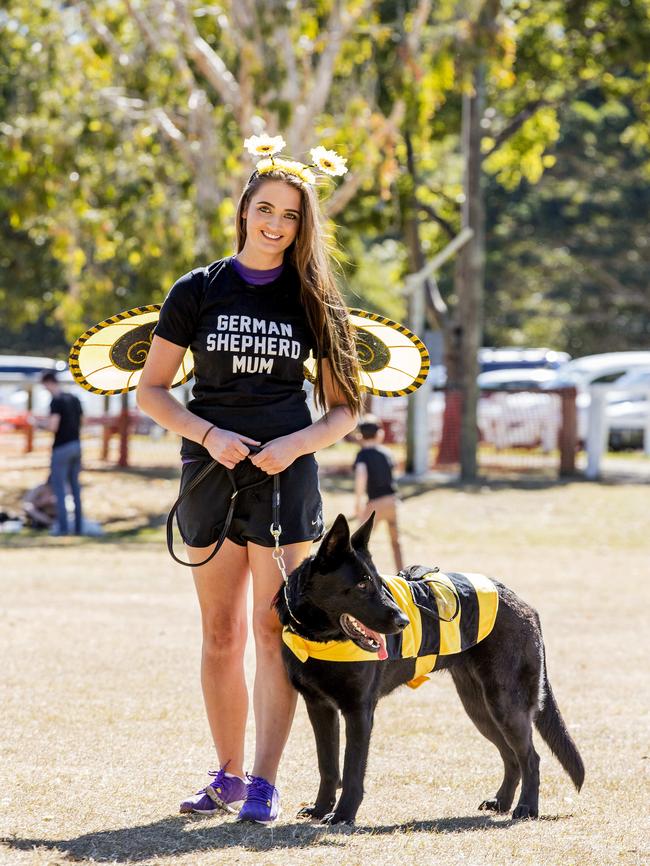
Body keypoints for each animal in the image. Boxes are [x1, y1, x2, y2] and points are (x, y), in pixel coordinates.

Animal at [274, 512, 584, 824]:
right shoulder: (319, 708)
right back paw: (502, 801)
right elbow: (327, 765)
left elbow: (351, 771)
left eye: (379, 584)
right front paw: (321, 808)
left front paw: (343, 815)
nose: (403, 622)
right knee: (511, 757)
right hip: (480, 709)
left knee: (530, 757)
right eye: (362, 585)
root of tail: (522, 603)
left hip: (505, 706)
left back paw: (526, 808)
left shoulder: (359, 711)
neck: (318, 638)